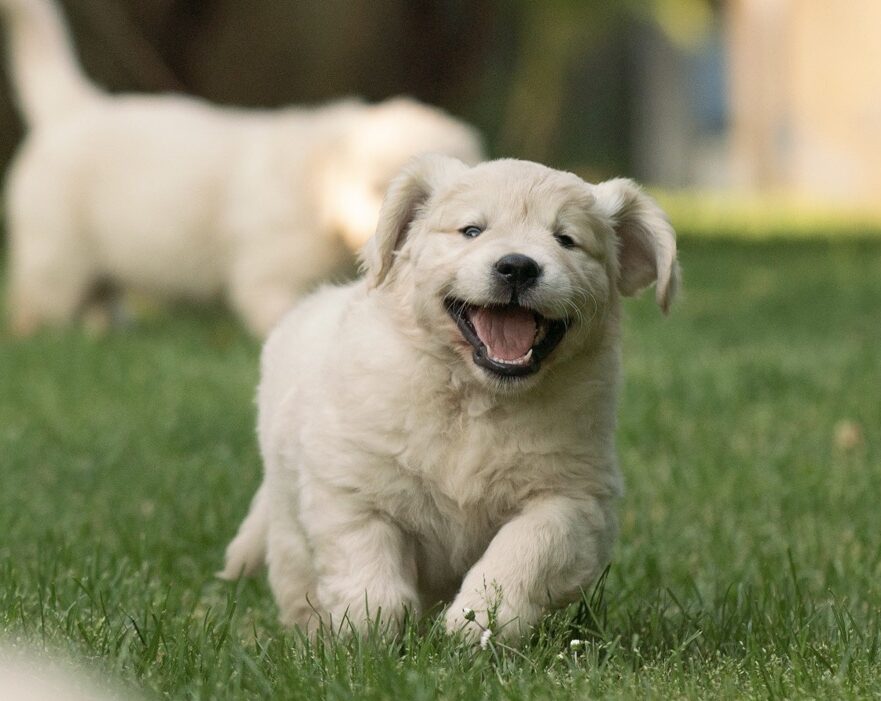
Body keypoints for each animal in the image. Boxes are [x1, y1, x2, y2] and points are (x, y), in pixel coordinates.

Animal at [0, 0, 482, 336]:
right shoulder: (269, 276)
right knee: (38, 304)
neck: (317, 191)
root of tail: (74, 109)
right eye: (374, 186)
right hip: (55, 256)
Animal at [222, 156, 680, 644]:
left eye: (566, 239)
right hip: (287, 520)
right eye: (472, 231)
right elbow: (366, 562)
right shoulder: (349, 484)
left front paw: (480, 620)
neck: (476, 396)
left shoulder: (573, 498)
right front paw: (370, 631)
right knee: (295, 578)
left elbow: (527, 547)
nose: (518, 267)